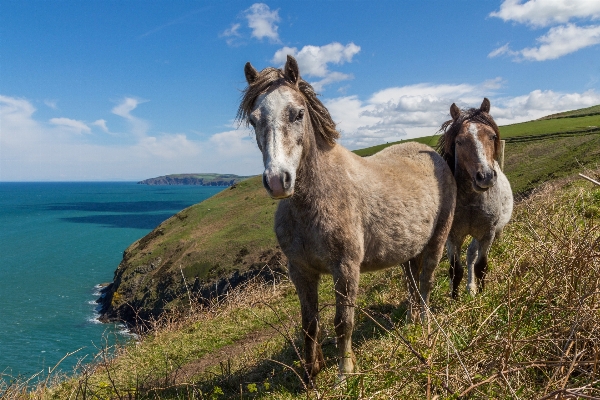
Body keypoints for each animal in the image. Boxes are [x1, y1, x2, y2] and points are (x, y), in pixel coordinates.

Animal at [239, 54, 454, 386]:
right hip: (407, 251)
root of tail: (433, 154)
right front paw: (311, 374)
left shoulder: (346, 268)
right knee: (412, 282)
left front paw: (344, 374)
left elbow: (343, 322)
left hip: (437, 241)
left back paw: (426, 324)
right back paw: (411, 320)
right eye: (254, 119)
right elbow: (309, 324)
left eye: (297, 113)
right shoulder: (300, 271)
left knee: (426, 282)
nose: (277, 181)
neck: (312, 202)